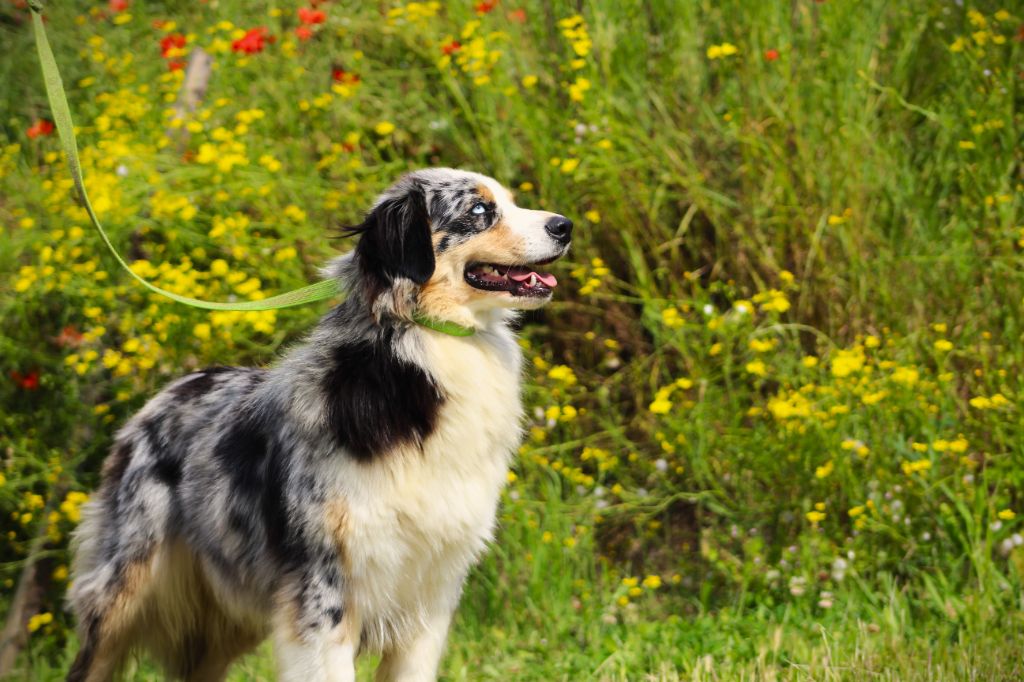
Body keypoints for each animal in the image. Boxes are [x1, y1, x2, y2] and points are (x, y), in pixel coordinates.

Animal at [67, 165, 573, 679]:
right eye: (479, 210)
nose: (565, 225)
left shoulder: (430, 594)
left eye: (510, 201)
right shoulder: (323, 589)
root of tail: (162, 396)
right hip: (123, 591)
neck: (426, 348)